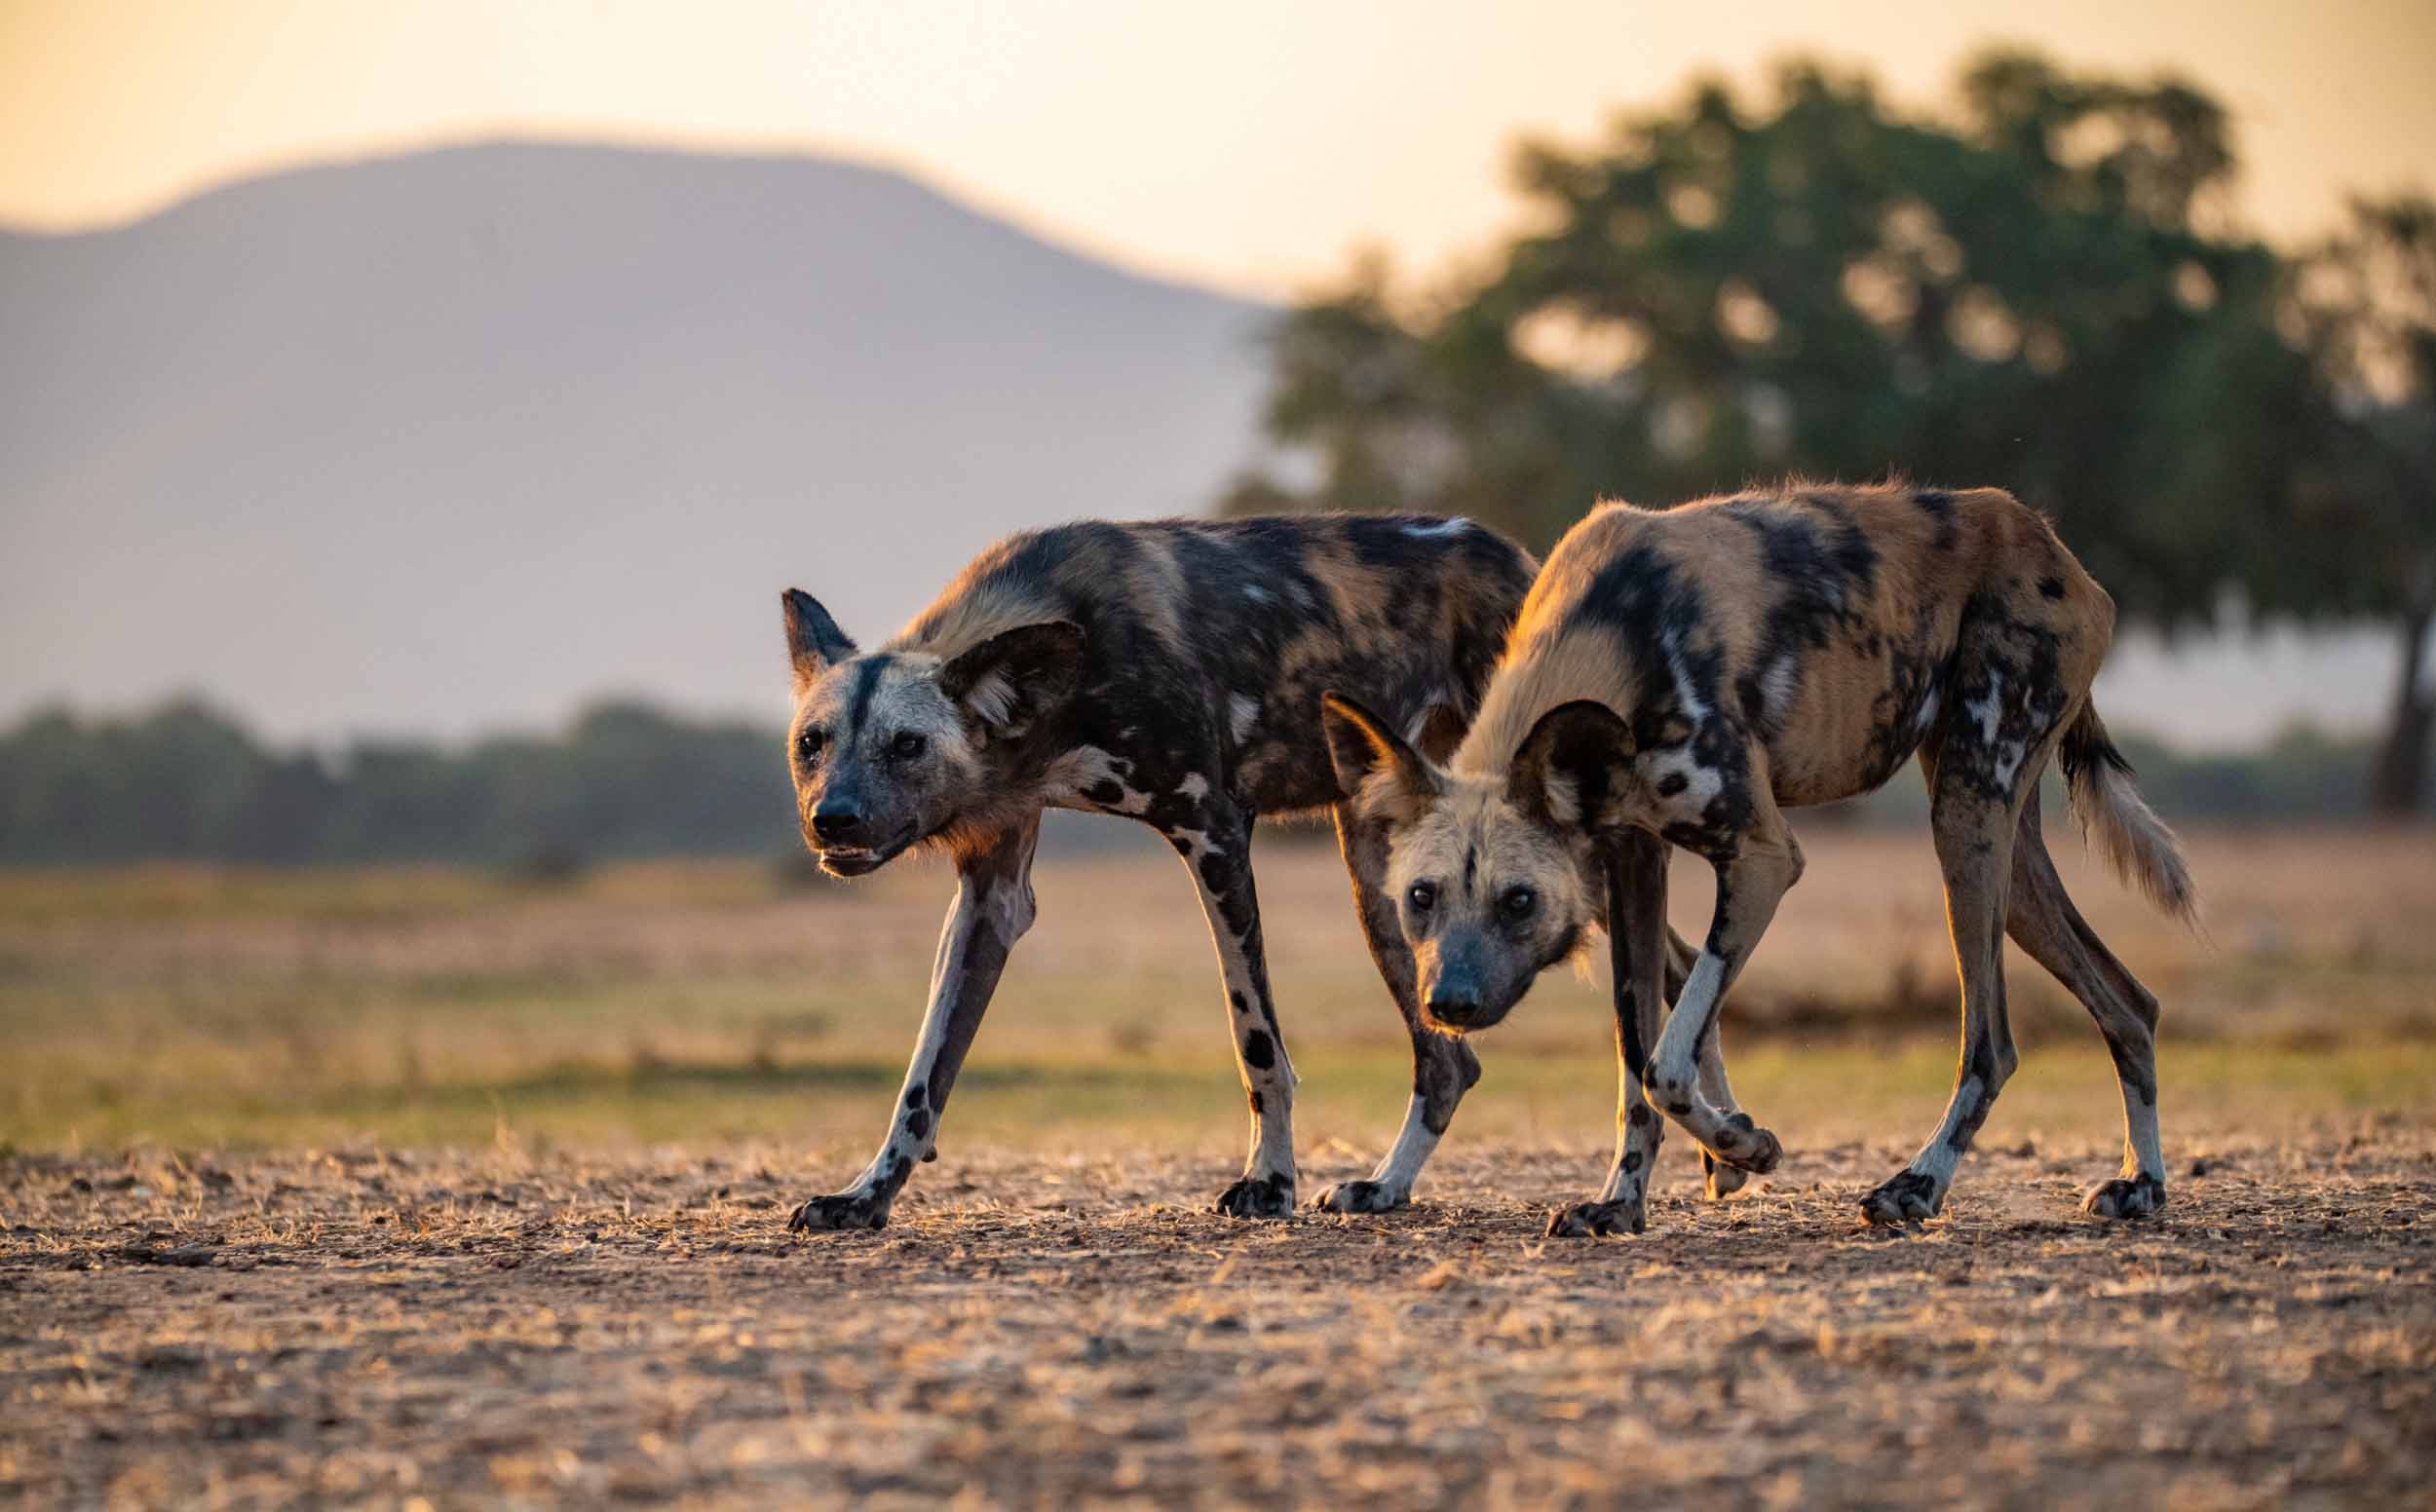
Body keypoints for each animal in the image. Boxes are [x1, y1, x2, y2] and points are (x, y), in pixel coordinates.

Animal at [775, 513, 1598, 1222]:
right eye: (813, 743)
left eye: (906, 745)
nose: (833, 819)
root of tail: (1519, 558)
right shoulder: (992, 894)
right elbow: (924, 1076)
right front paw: (866, 1196)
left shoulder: (1214, 836)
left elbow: (1257, 1043)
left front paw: (1269, 1182)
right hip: (1386, 884)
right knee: (1448, 1064)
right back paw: (1387, 1187)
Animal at [1325, 484, 2202, 1236]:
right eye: (1422, 897)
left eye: (1518, 901)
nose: (1449, 1004)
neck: (1614, 640)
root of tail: (2050, 542)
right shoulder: (1631, 861)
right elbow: (1634, 1058)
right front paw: (1620, 1203)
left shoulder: (1761, 858)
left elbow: (1667, 1065)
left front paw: (1746, 1145)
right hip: (2000, 852)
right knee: (2131, 1003)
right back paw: (2142, 1185)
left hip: (1968, 818)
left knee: (1991, 1044)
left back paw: (1916, 1186)